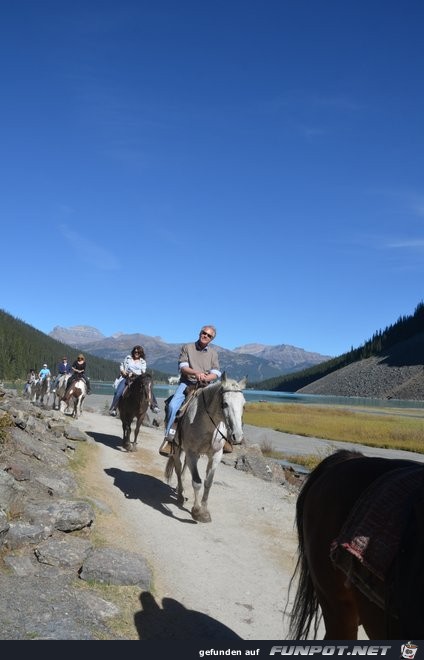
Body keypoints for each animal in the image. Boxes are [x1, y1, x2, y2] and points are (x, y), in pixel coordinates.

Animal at [165, 374, 247, 524]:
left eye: (243, 404)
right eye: (225, 403)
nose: (237, 436)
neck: (207, 425)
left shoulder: (215, 455)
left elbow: (208, 482)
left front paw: (204, 510)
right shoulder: (192, 453)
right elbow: (197, 482)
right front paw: (198, 511)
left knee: (184, 467)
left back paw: (181, 490)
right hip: (177, 448)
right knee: (179, 468)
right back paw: (180, 495)